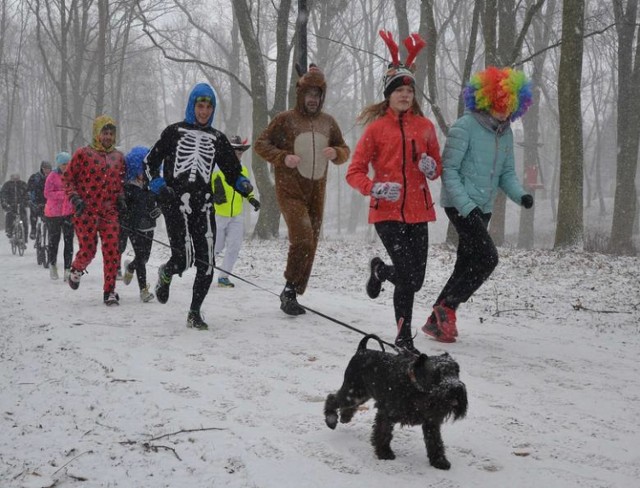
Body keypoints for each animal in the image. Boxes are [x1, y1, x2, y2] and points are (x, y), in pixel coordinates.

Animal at [324, 336, 464, 468]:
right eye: (437, 373)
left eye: (457, 371)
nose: (456, 389)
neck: (415, 387)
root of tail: (362, 350)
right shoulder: (386, 414)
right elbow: (384, 433)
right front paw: (384, 453)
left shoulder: (431, 421)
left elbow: (435, 441)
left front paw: (439, 461)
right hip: (353, 392)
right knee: (332, 398)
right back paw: (331, 420)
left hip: (361, 394)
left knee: (349, 405)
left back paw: (345, 417)